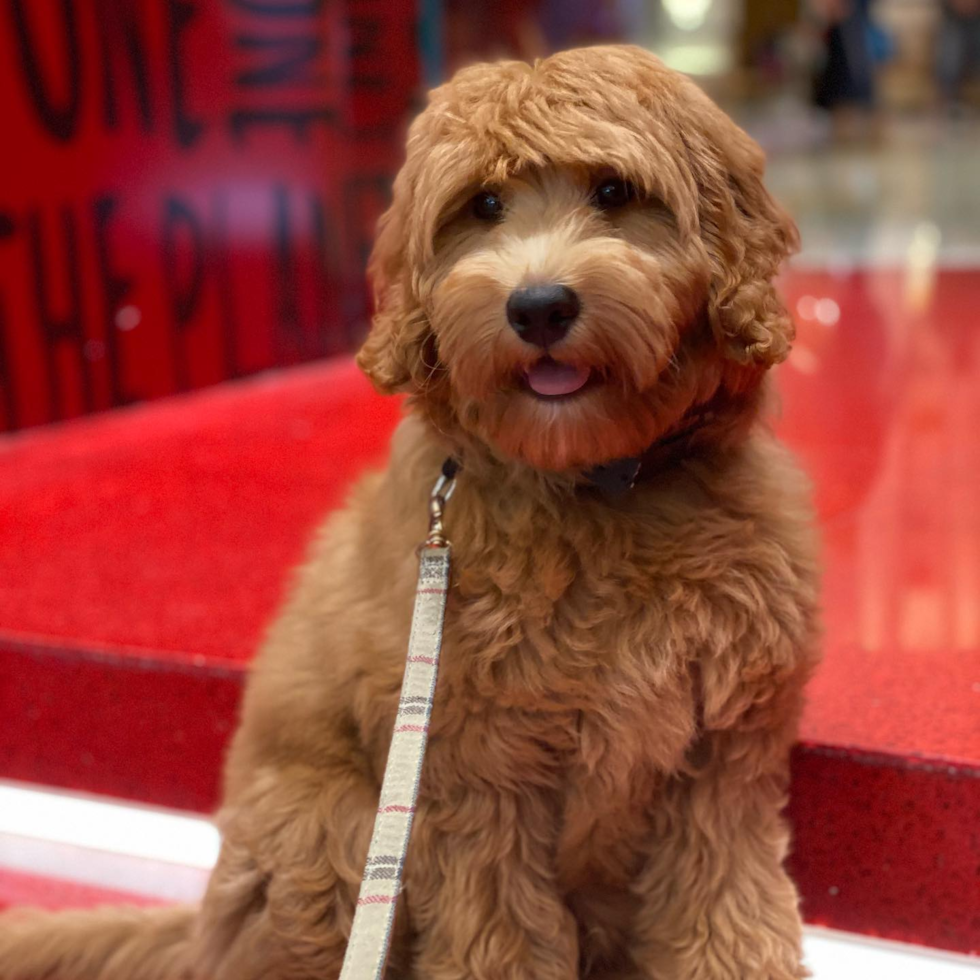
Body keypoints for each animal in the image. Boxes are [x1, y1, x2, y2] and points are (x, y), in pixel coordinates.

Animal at [0, 44, 820, 980]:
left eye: (615, 191)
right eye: (484, 205)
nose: (538, 306)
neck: (597, 488)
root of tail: (200, 938)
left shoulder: (722, 761)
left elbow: (725, 907)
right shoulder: (475, 778)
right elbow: (500, 934)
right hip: (324, 833)